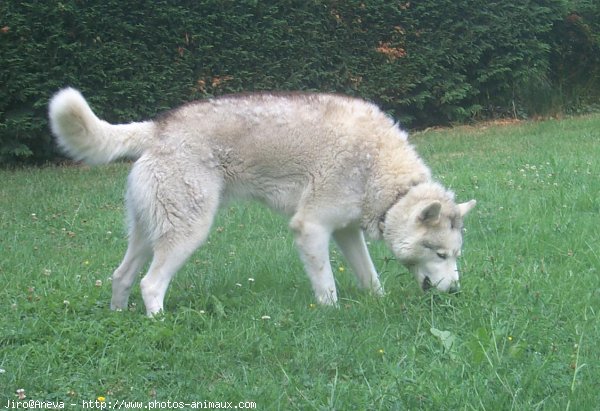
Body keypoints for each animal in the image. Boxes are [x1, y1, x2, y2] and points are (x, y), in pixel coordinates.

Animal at [49, 88, 476, 318]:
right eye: (440, 254)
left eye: (455, 255)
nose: (457, 291)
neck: (382, 173)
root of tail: (157, 128)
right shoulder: (311, 229)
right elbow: (328, 288)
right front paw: (332, 316)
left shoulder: (345, 233)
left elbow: (370, 278)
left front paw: (379, 303)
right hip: (187, 234)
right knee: (150, 285)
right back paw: (160, 325)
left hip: (146, 235)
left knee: (121, 277)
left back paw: (120, 318)